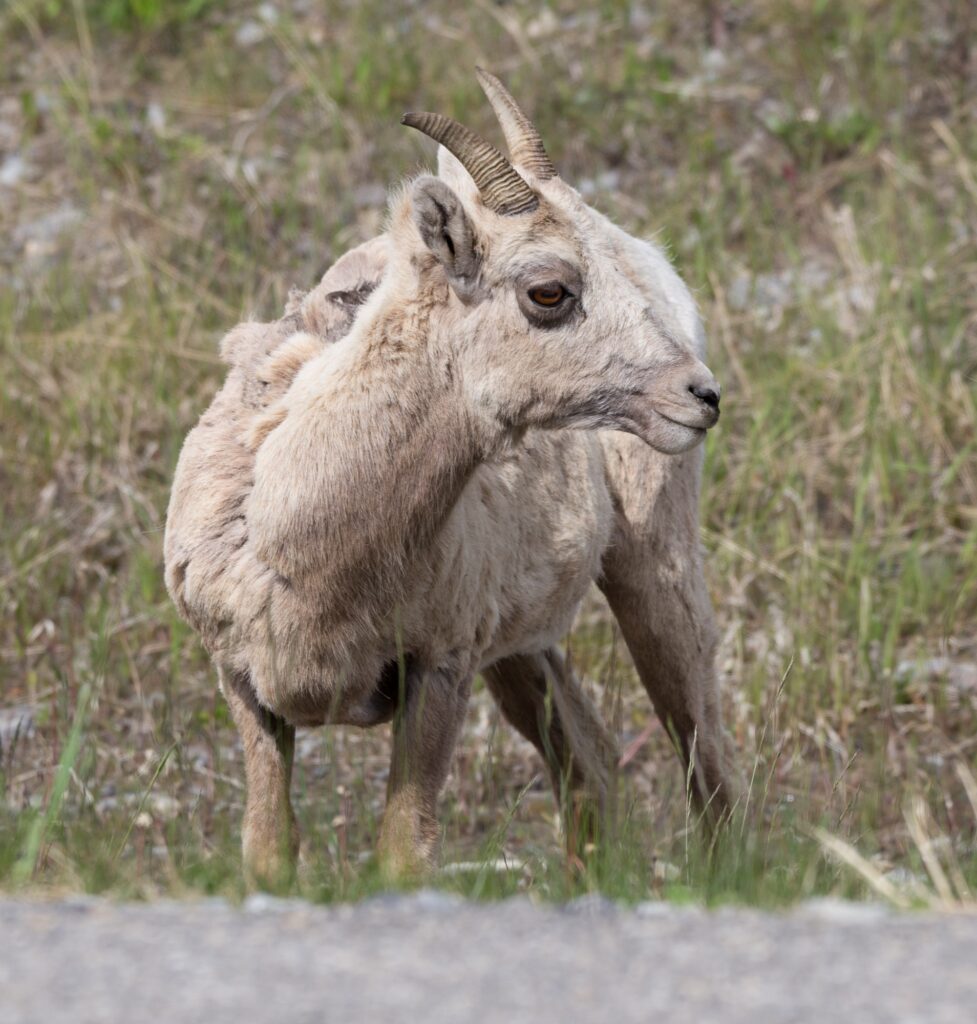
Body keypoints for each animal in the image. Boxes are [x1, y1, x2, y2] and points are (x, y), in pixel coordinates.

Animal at [164, 70, 736, 886]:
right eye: (549, 290)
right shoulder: (248, 689)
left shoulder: (437, 672)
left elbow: (404, 855)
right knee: (591, 764)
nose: (700, 395)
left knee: (703, 751)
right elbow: (269, 853)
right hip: (523, 650)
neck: (304, 545)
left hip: (655, 575)